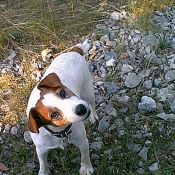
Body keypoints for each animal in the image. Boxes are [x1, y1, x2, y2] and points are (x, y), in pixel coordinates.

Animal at [27, 40, 98, 175]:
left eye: (63, 93)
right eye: (54, 115)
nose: (81, 108)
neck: (60, 133)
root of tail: (74, 51)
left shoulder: (82, 141)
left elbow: (85, 156)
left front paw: (86, 168)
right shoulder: (41, 149)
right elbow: (43, 163)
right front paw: (44, 172)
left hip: (88, 93)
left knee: (92, 104)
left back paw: (93, 116)